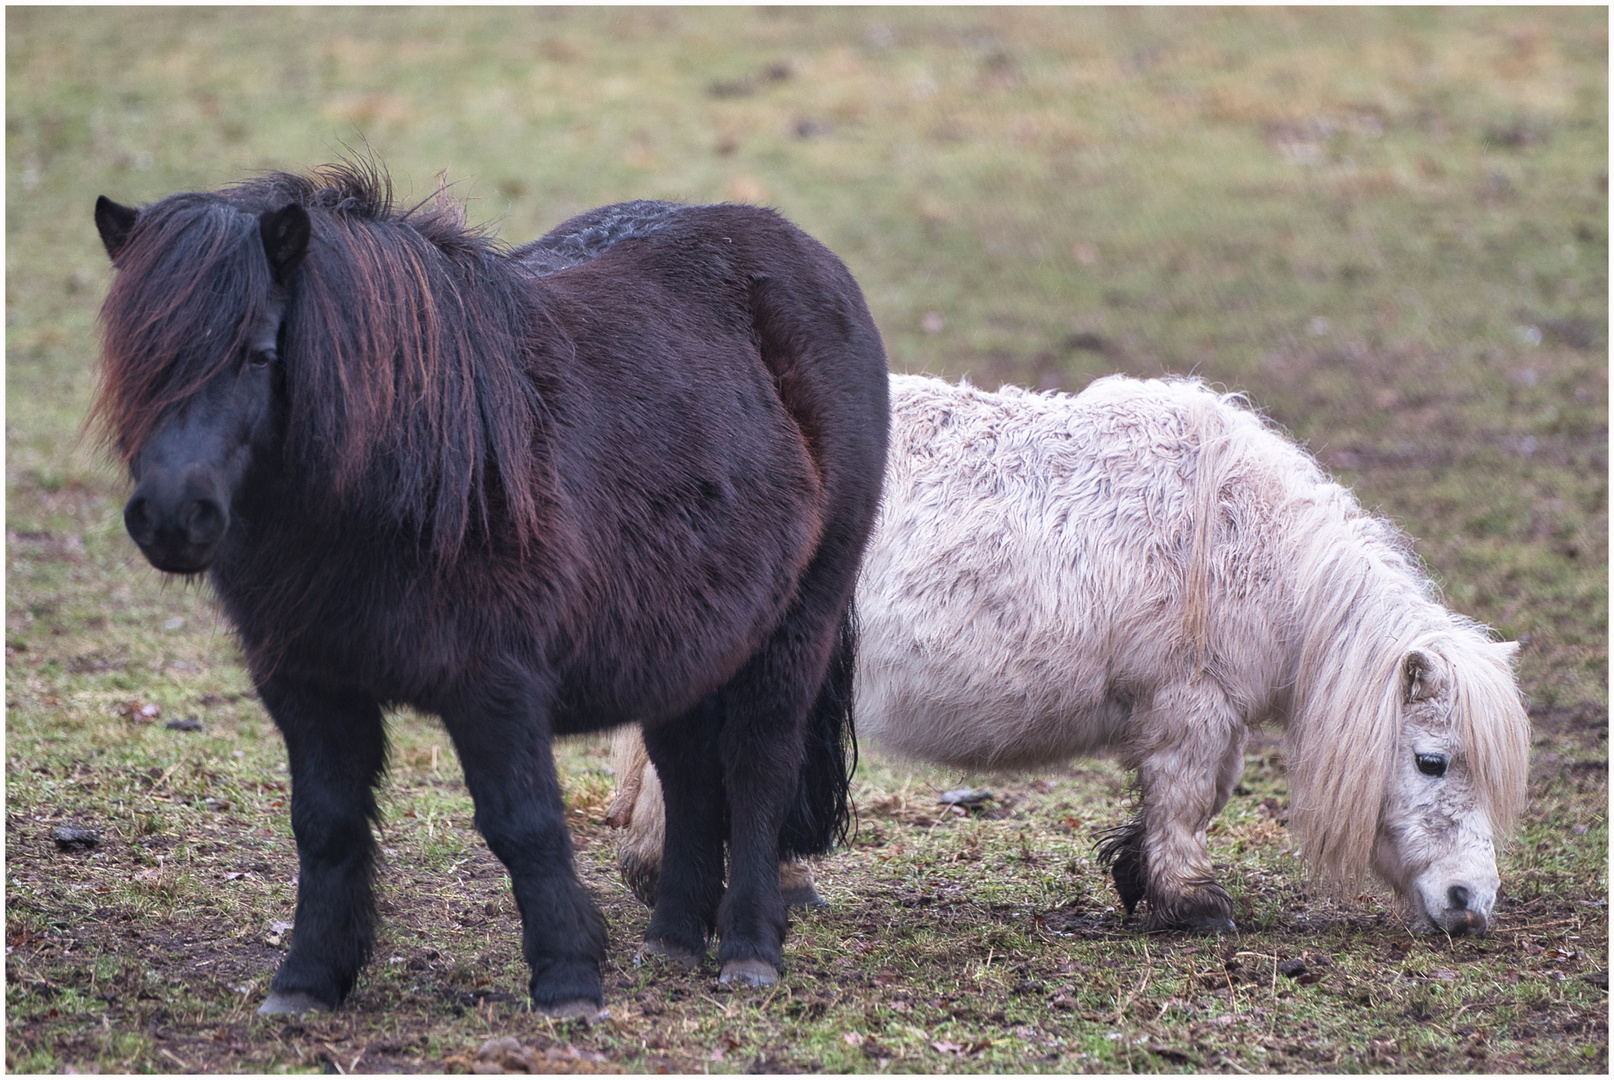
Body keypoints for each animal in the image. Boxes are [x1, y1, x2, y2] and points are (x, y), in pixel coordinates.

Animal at [92, 164, 890, 1013]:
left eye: (258, 353)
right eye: (134, 358)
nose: (172, 517)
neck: (406, 466)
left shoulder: (495, 683)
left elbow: (523, 822)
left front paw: (568, 979)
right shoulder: (306, 684)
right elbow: (325, 824)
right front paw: (308, 979)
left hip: (799, 620)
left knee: (757, 764)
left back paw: (749, 948)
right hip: (690, 638)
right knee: (688, 772)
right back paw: (673, 939)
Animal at [606, 374, 1523, 929]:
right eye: (1434, 760)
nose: (1472, 901)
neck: (1253, 546)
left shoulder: (1203, 712)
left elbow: (1199, 796)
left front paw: (1141, 878)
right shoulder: (1191, 704)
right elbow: (1187, 797)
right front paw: (1191, 902)